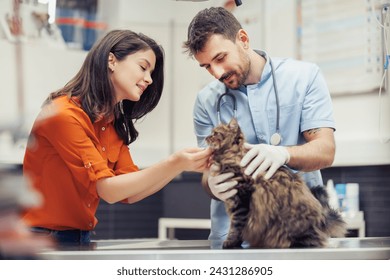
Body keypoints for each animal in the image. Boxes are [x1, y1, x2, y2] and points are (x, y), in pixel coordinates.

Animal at [203, 118, 346, 249]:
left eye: (215, 133)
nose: (206, 137)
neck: (232, 155)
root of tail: (321, 218)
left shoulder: (242, 199)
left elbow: (236, 226)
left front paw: (230, 242)